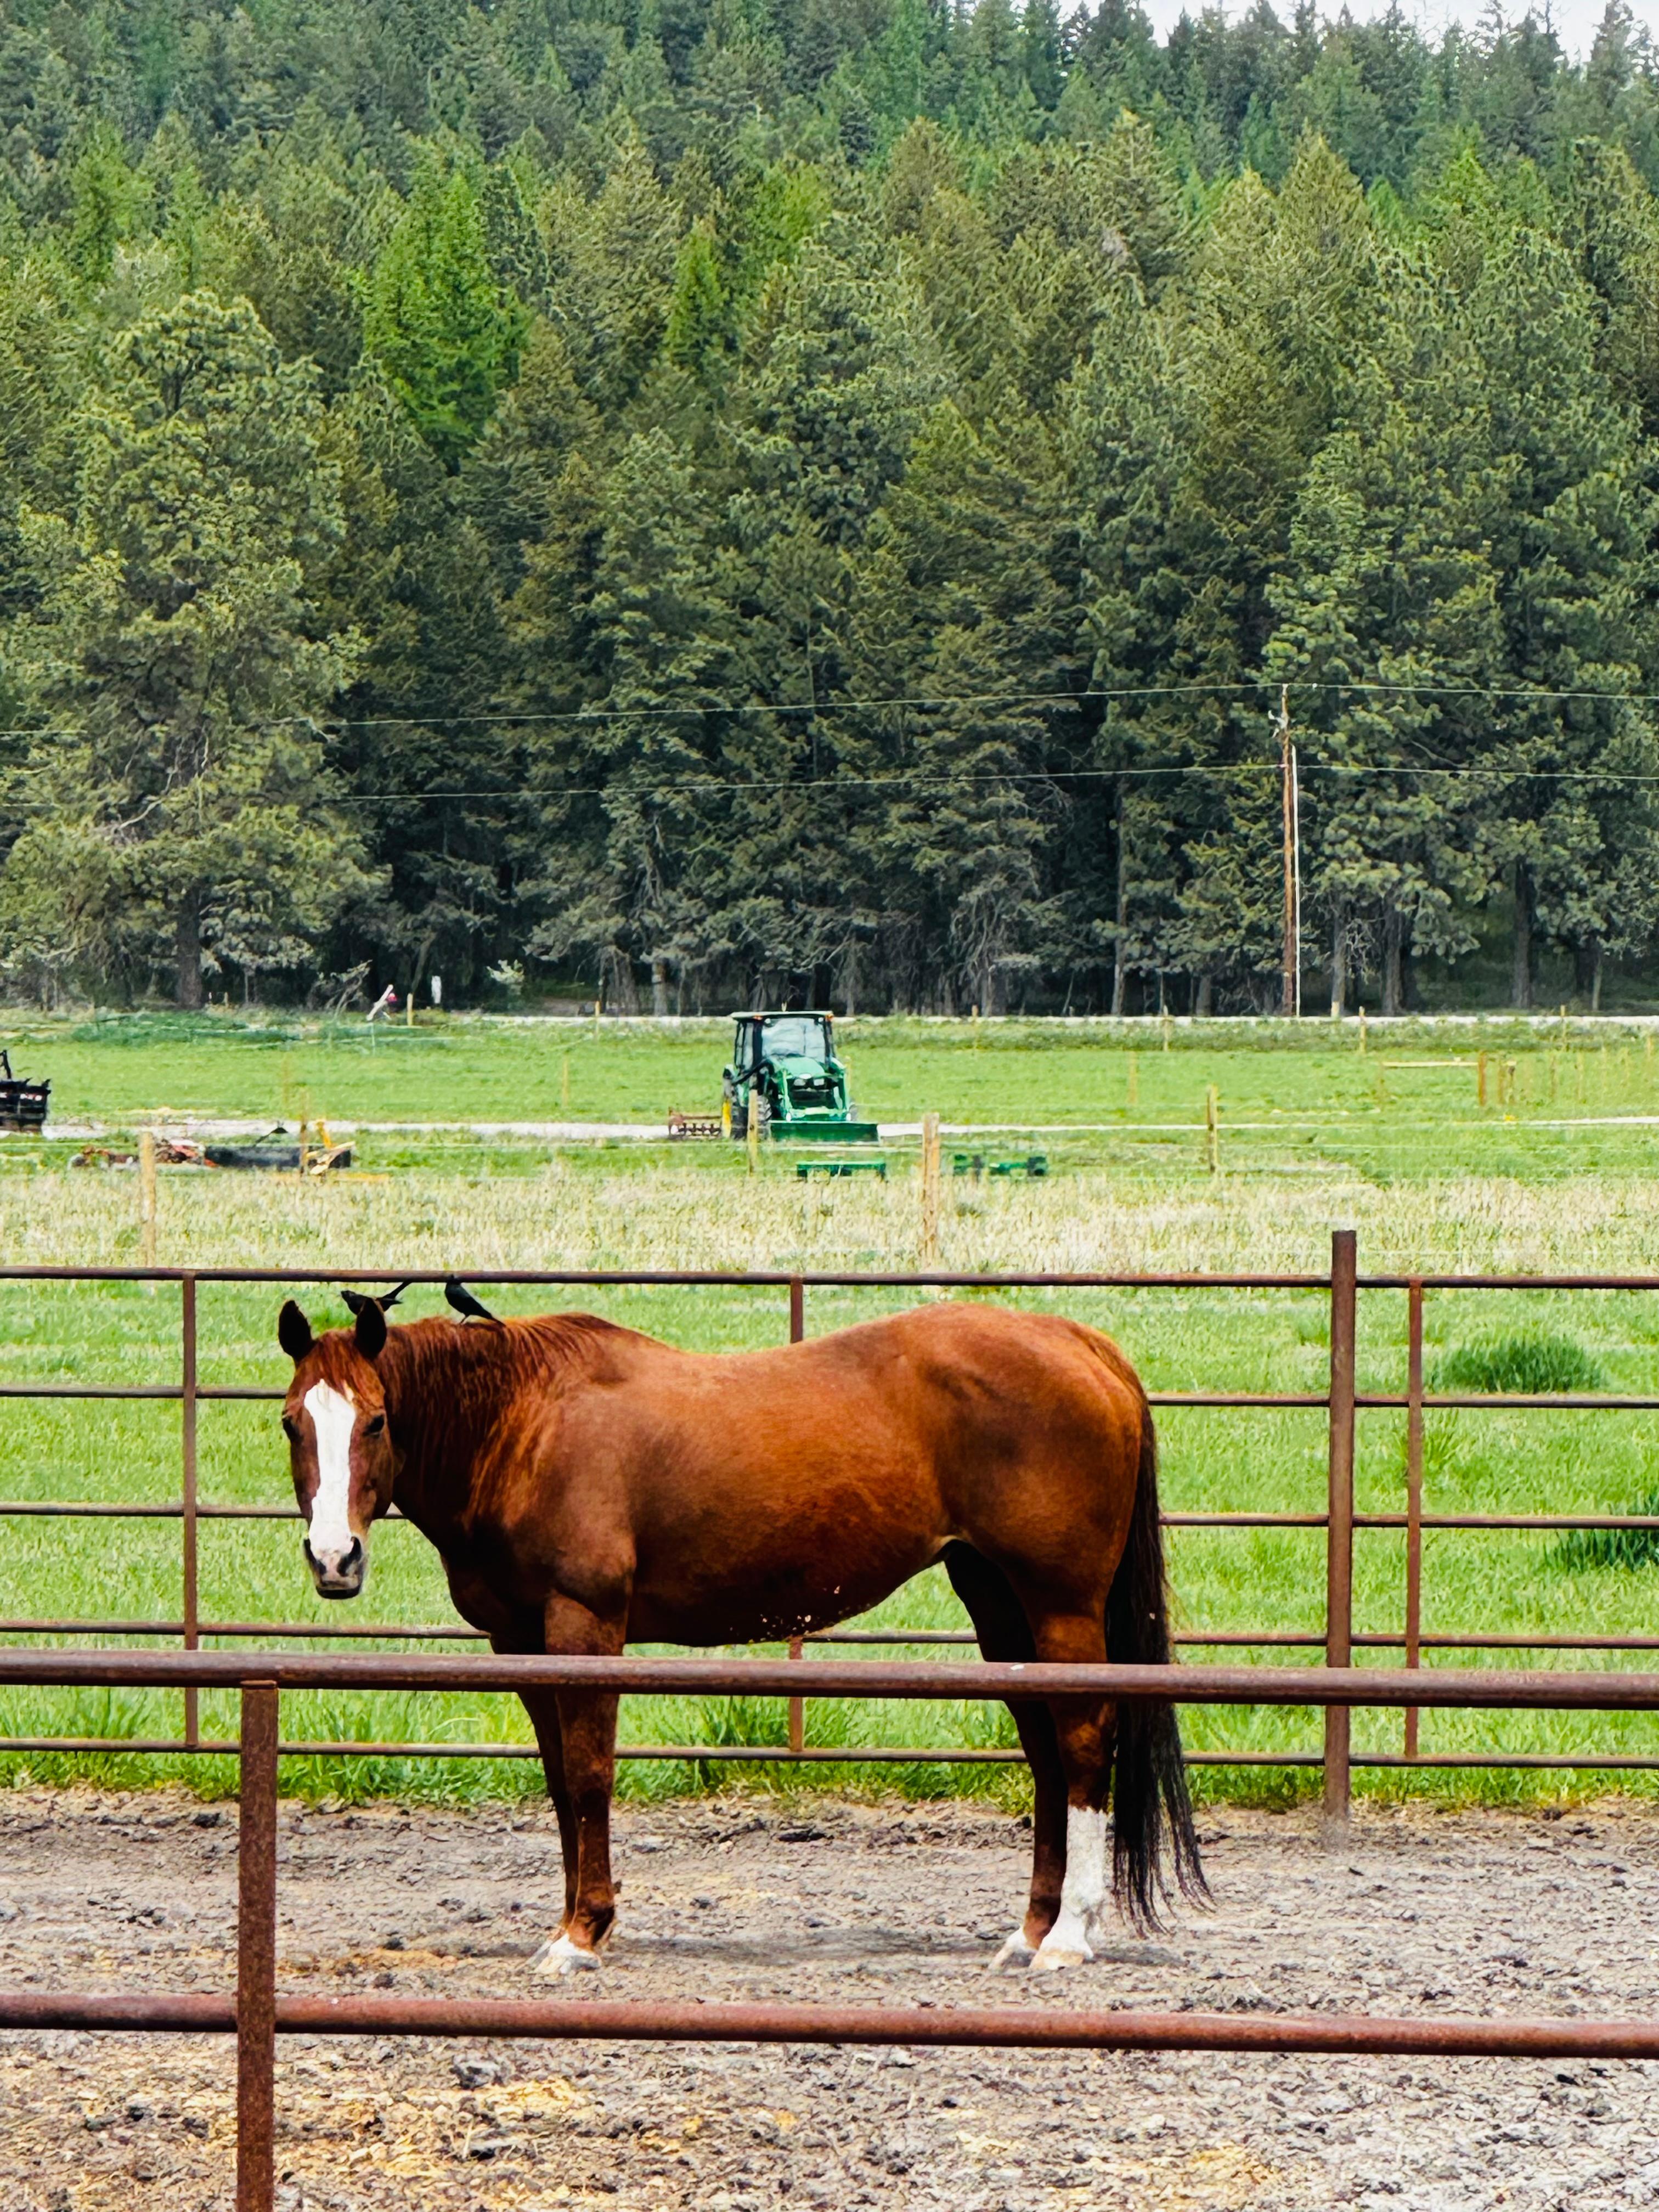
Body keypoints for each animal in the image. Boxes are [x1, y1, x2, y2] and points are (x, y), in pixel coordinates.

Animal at [276, 1295, 1206, 1975]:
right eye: (292, 1422)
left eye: (376, 1422)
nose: (334, 1558)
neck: (525, 1425)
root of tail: (1083, 1345)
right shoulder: (522, 1643)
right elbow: (559, 1782)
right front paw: (573, 1922)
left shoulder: (585, 1624)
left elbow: (589, 1774)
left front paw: (583, 1934)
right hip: (998, 1603)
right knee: (1047, 1754)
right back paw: (1029, 1928)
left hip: (1060, 1606)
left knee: (1081, 1744)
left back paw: (1069, 1936)